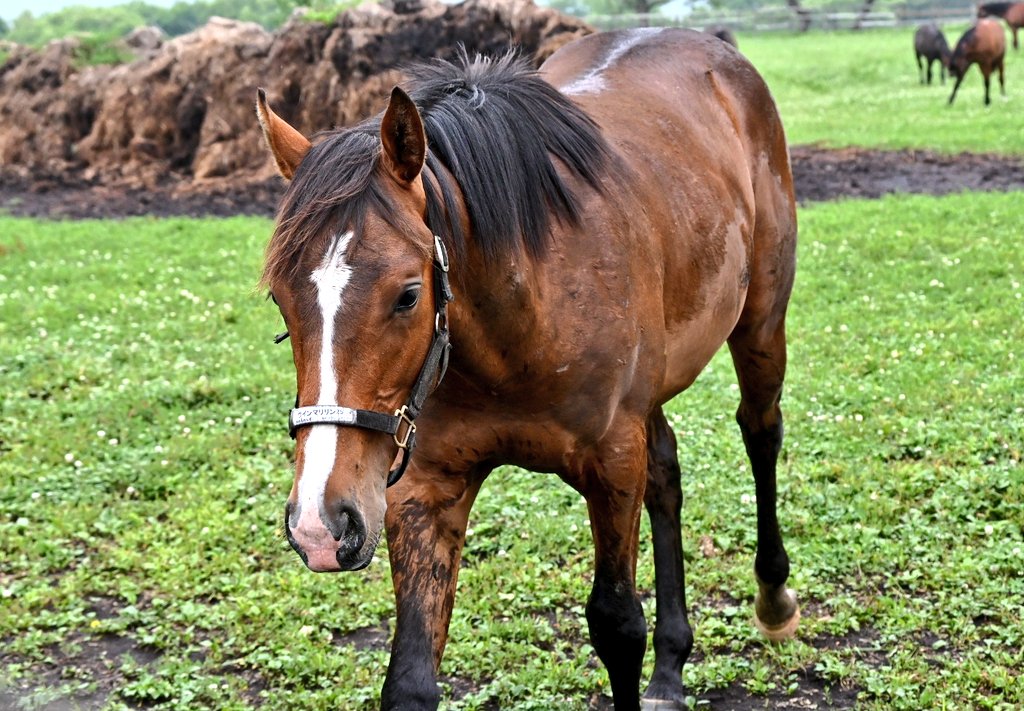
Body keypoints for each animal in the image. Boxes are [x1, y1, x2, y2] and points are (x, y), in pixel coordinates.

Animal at [255, 28, 799, 710]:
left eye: (408, 295)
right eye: (280, 300)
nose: (321, 524)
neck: (517, 329)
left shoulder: (612, 460)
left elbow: (618, 625)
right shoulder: (425, 487)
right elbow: (410, 676)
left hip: (760, 326)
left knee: (760, 431)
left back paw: (774, 598)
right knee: (667, 473)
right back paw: (671, 668)